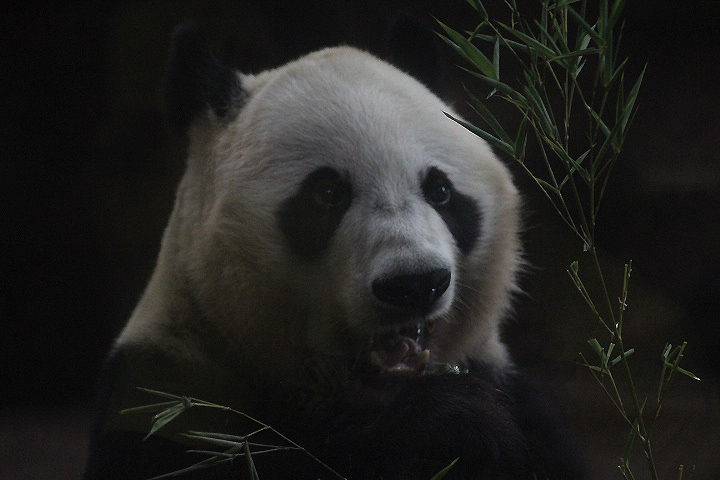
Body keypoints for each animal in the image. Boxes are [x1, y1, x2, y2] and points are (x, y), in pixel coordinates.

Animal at [85, 23, 585, 480]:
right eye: (327, 193)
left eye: (440, 191)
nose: (414, 284)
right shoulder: (169, 393)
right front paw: (451, 421)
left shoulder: (510, 390)